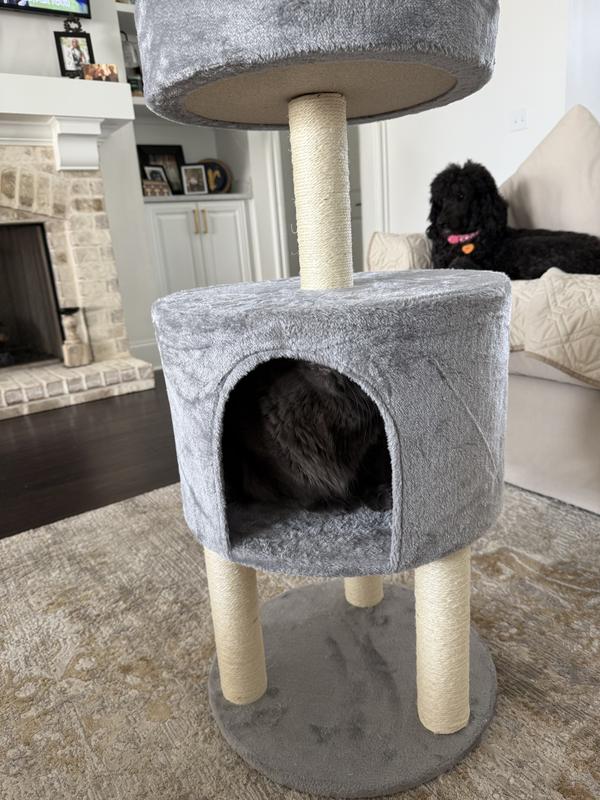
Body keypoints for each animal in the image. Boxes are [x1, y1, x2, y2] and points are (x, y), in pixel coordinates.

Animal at [223, 358, 392, 511]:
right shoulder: (273, 460)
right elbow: (303, 488)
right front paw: (333, 503)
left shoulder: (372, 447)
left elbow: (370, 472)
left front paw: (381, 496)